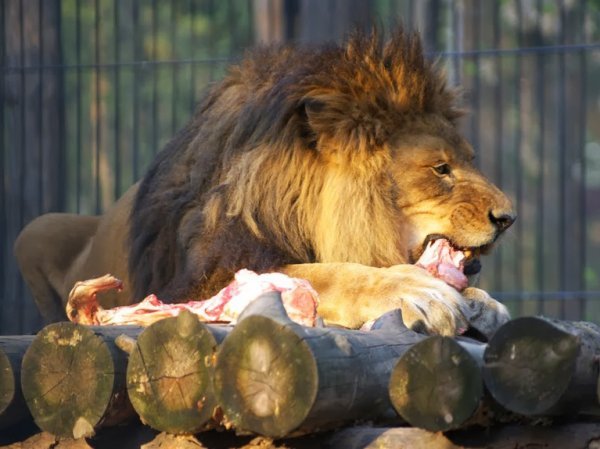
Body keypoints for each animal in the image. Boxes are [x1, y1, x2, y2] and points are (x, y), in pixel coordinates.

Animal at [12, 28, 516, 336]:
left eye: (469, 161)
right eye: (441, 169)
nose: (508, 218)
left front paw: (480, 300)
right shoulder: (200, 282)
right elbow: (321, 273)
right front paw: (415, 290)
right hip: (35, 227)